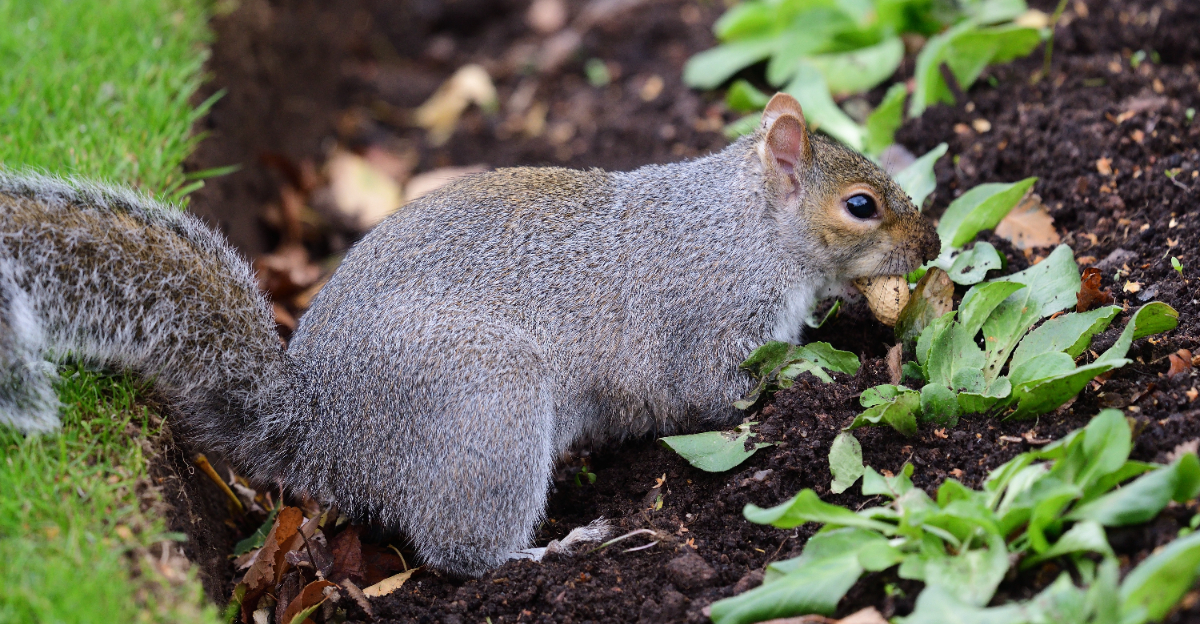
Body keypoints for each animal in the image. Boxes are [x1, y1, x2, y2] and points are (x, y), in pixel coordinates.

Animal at [0, 94, 938, 577]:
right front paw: (814, 372)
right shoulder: (706, 320)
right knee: (462, 553)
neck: (743, 226)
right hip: (487, 400)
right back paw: (554, 549)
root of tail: (323, 435)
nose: (931, 246)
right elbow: (720, 394)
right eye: (861, 205)